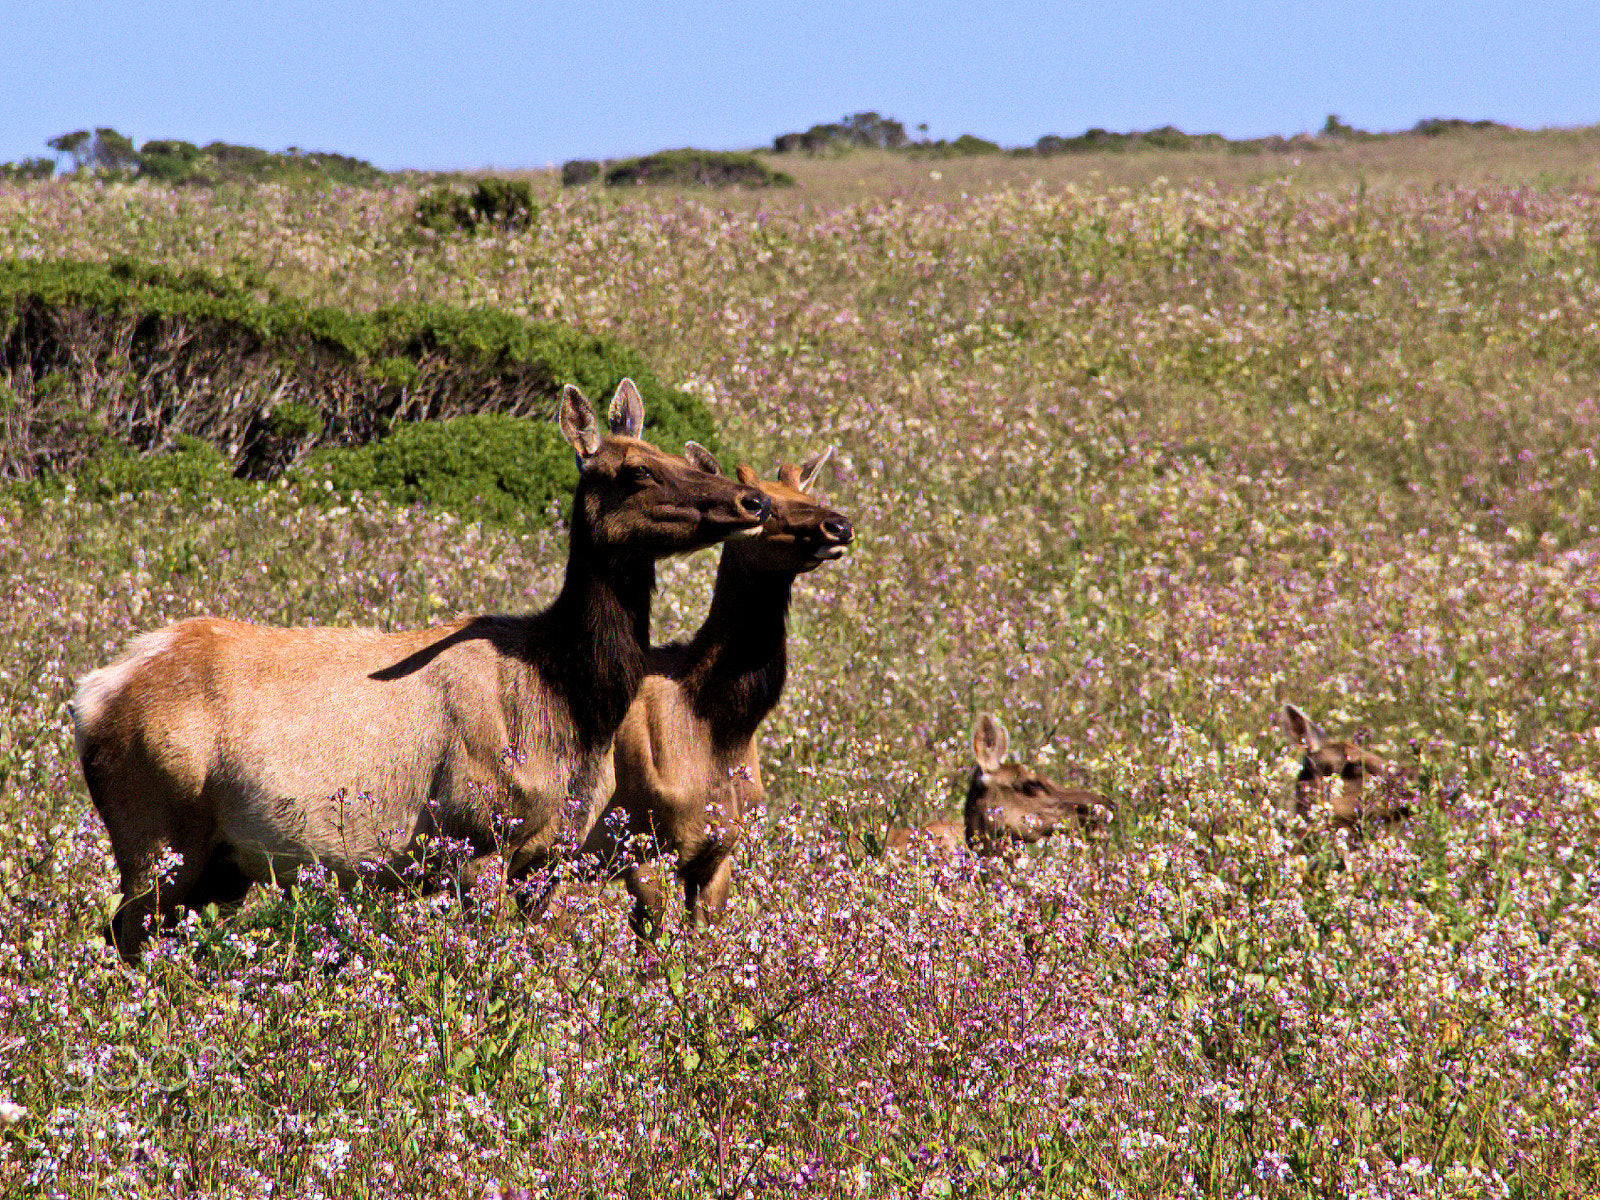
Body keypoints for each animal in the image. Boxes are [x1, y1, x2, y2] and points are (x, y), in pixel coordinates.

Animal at [69, 380, 772, 960]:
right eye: (635, 470)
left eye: (682, 455)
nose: (754, 500)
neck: (568, 697)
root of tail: (89, 696)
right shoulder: (477, 835)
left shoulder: (552, 857)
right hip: (154, 833)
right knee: (124, 934)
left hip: (214, 863)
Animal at [577, 451, 853, 941]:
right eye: (768, 508)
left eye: (811, 495)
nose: (839, 525)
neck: (718, 727)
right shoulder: (641, 847)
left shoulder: (720, 850)